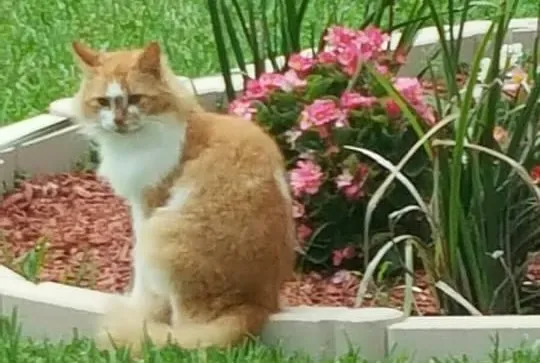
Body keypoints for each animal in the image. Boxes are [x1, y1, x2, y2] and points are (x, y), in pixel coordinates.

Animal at [69, 40, 296, 356]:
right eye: (103, 102)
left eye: (136, 98)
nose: (118, 121)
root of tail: (257, 305)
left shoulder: (146, 206)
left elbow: (141, 282)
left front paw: (139, 310)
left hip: (161, 236)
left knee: (185, 333)